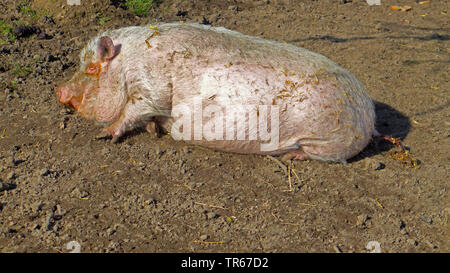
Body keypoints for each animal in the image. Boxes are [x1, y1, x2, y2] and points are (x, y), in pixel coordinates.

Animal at [56, 22, 376, 162]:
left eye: (93, 69)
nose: (59, 90)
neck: (126, 66)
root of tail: (368, 116)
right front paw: (152, 131)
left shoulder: (151, 87)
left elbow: (134, 110)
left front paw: (103, 134)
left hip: (327, 139)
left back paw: (291, 157)